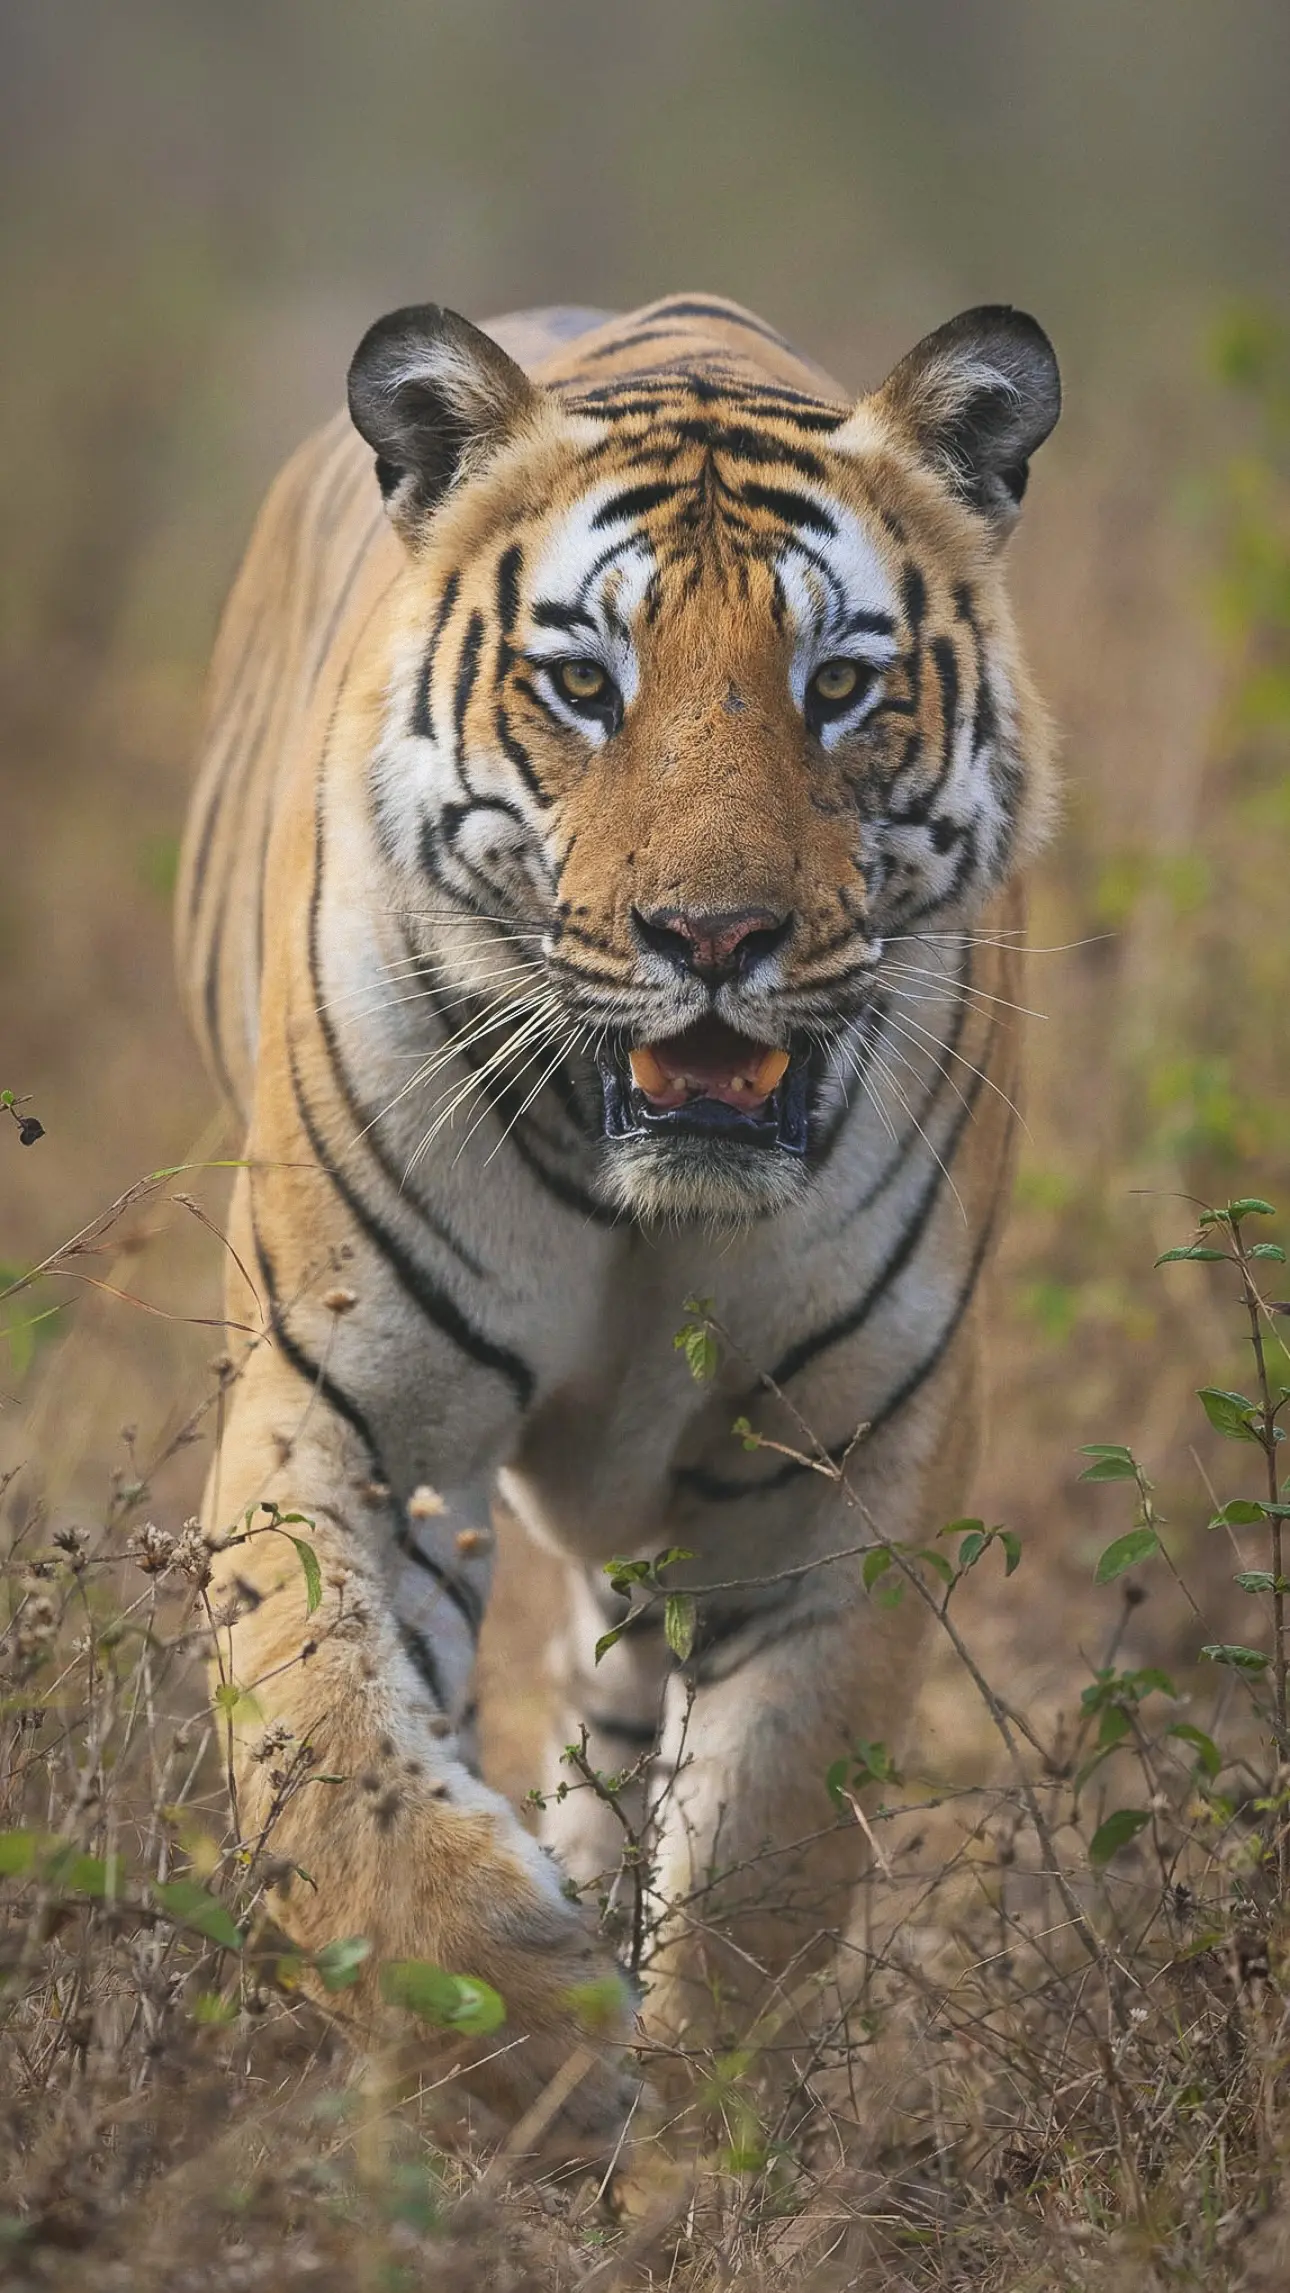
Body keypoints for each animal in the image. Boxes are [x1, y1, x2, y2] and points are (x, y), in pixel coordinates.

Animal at [174, 291, 1058, 2146]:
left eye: (838, 686)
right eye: (585, 684)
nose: (711, 936)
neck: (646, 1196)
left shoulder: (841, 1469)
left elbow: (761, 1863)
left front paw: (692, 2137)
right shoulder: (350, 1412)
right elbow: (340, 1767)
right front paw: (530, 2046)